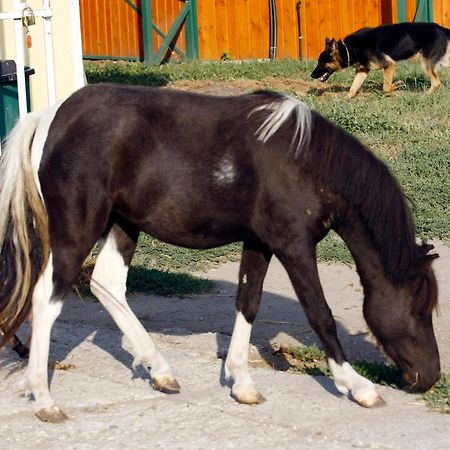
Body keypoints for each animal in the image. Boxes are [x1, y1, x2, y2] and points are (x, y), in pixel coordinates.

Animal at [0, 83, 440, 422]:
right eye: (419, 310)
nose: (431, 376)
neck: (306, 163)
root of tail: (52, 116)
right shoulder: (295, 248)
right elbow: (321, 316)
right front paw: (358, 386)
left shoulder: (260, 243)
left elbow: (248, 303)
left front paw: (242, 383)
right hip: (76, 231)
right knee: (47, 298)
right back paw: (44, 399)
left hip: (123, 225)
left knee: (106, 285)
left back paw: (160, 370)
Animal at [312, 22, 450, 96]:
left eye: (321, 63)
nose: (311, 75)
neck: (348, 49)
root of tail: (443, 29)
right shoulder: (362, 70)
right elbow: (353, 88)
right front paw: (346, 99)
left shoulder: (389, 64)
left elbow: (386, 87)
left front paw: (398, 85)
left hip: (426, 63)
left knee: (436, 82)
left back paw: (426, 94)